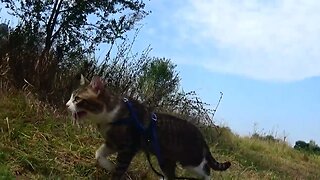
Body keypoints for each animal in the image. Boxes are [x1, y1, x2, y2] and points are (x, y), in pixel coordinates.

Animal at [65, 75, 230, 179]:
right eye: (71, 97)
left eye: (77, 99)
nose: (66, 105)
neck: (110, 116)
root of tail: (201, 136)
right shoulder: (113, 143)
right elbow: (98, 154)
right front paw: (109, 165)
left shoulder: (128, 147)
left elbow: (120, 168)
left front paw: (114, 172)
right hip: (166, 160)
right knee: (172, 176)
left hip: (191, 161)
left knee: (206, 171)